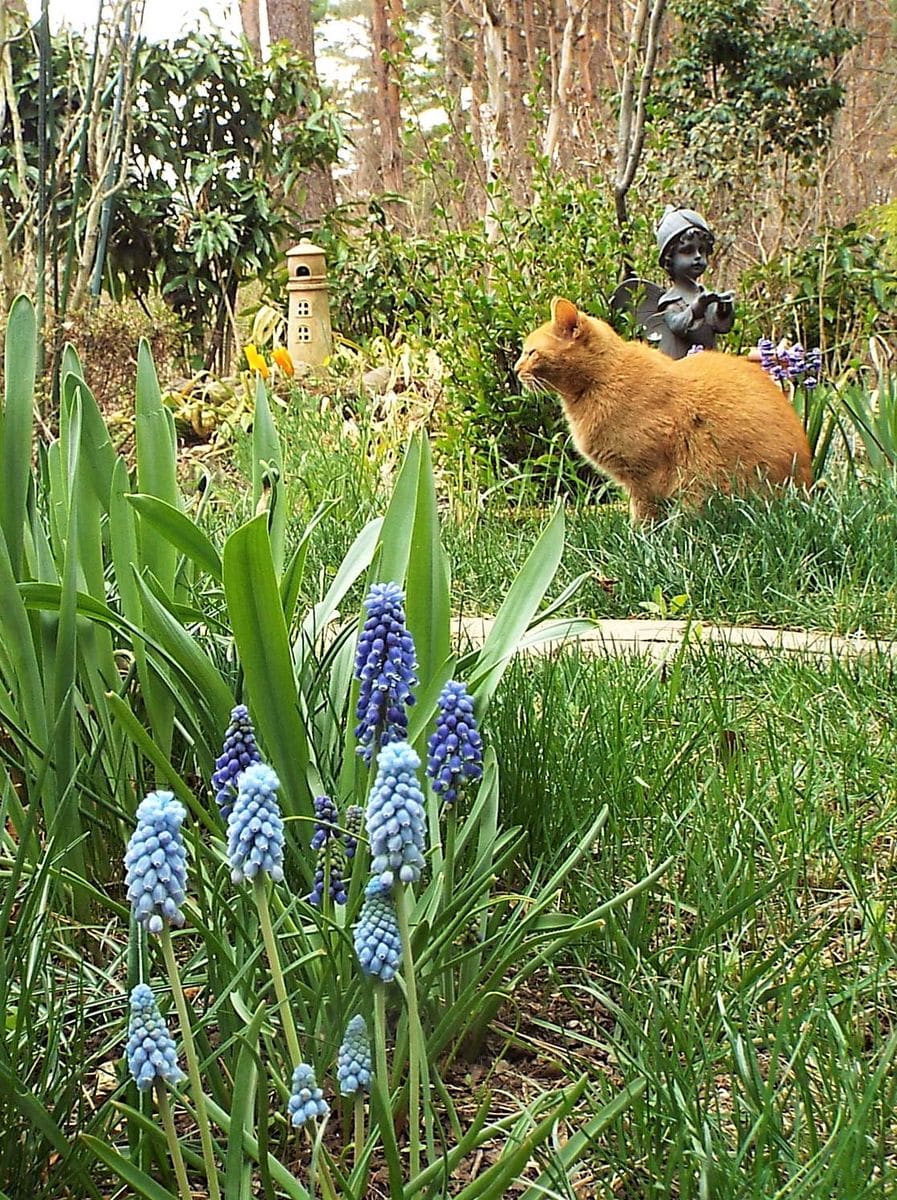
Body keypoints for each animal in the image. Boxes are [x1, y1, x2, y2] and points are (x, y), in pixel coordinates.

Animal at [510, 295, 810, 520]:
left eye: (531, 353)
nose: (515, 370)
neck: (602, 381)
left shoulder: (647, 476)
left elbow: (644, 516)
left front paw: (640, 542)